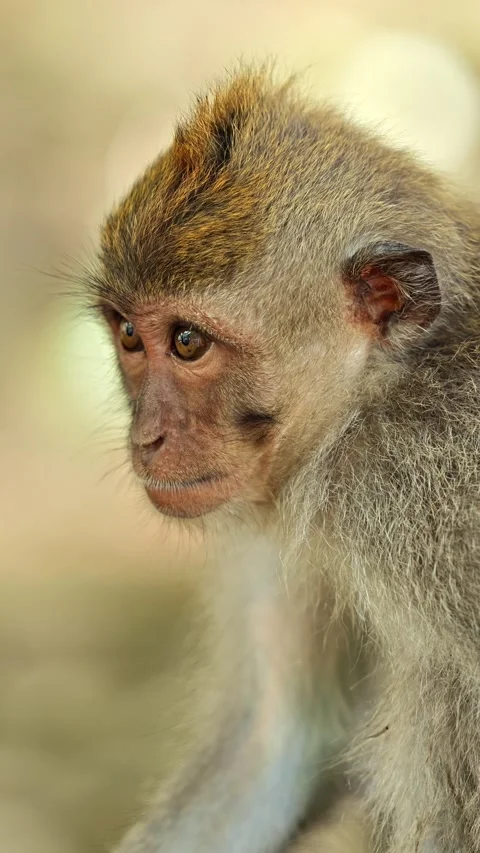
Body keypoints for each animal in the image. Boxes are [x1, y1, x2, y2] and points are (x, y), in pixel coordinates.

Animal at [84, 67, 480, 852]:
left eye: (188, 342)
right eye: (129, 336)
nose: (146, 438)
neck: (364, 409)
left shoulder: (419, 499)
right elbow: (273, 746)